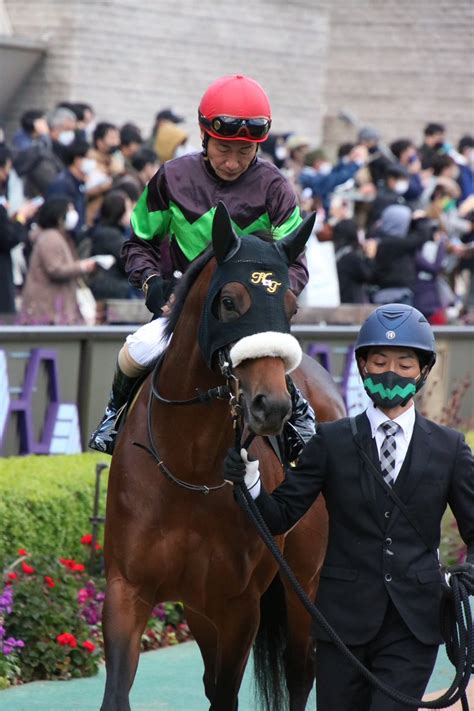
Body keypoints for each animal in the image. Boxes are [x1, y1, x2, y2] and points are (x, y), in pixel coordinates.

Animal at [101, 202, 344, 711]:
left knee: (300, 671)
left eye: (291, 307)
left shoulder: (239, 605)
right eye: (229, 301)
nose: (272, 406)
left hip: (304, 583)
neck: (188, 467)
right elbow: (118, 691)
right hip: (199, 607)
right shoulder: (128, 588)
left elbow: (228, 693)